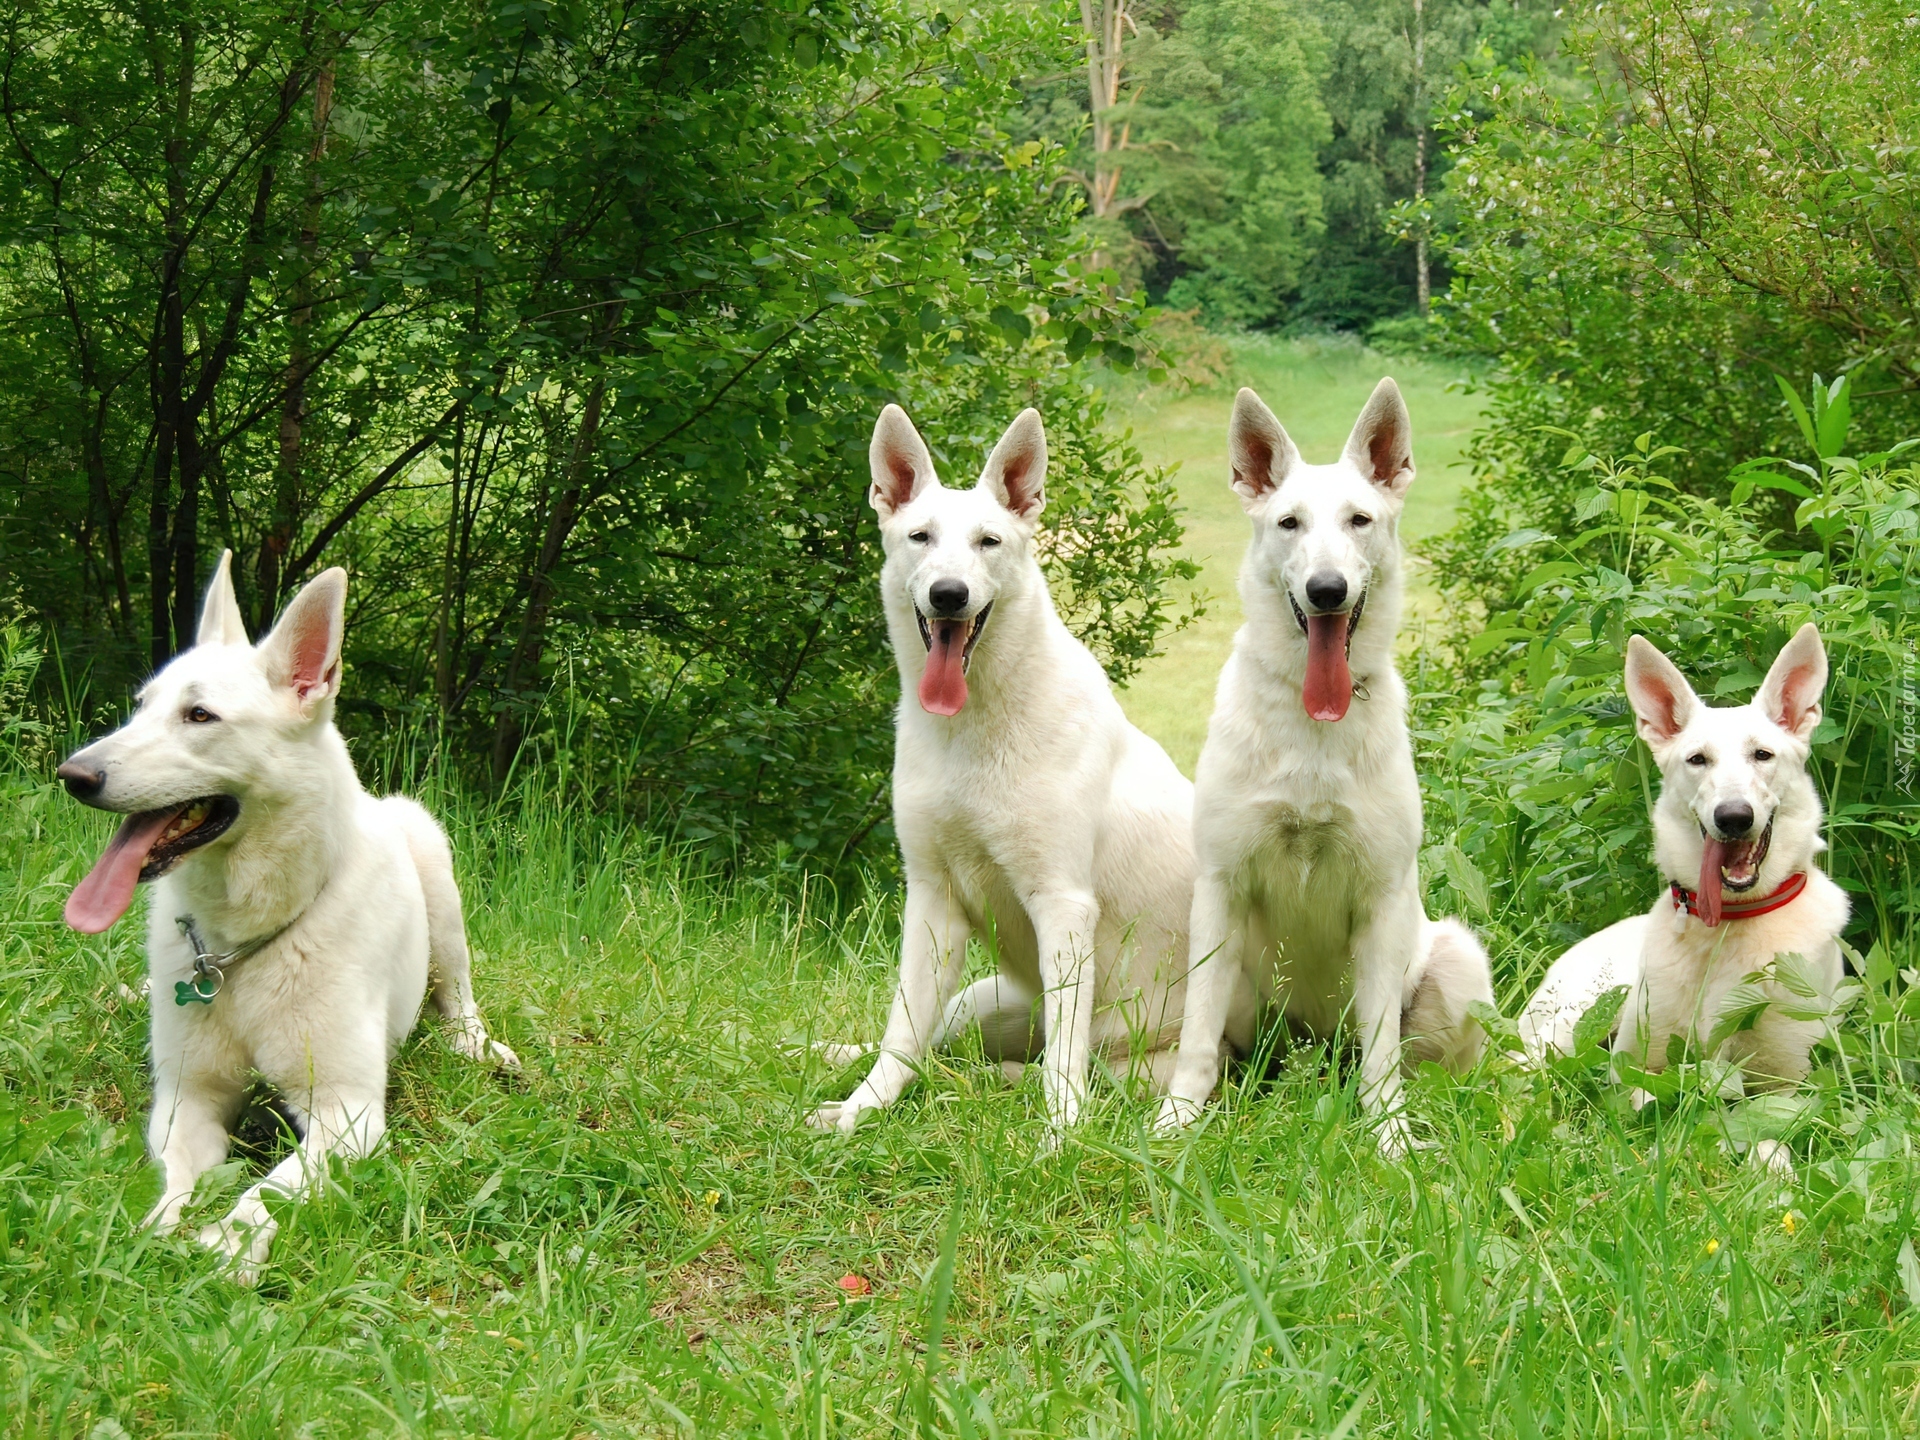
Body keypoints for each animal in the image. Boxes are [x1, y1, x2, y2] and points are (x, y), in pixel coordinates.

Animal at [58, 556, 518, 1282]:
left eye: (199, 715)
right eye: (142, 707)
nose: (72, 775)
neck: (239, 947)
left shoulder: (345, 1113)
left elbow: (267, 1189)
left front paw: (230, 1243)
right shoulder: (188, 1097)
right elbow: (177, 1177)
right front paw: (159, 1228)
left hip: (435, 867)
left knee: (459, 994)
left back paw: (477, 1044)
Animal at [810, 403, 1198, 1136]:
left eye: (989, 542)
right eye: (920, 537)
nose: (948, 594)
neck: (973, 727)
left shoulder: (1062, 904)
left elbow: (1064, 1064)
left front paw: (1062, 1135)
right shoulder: (932, 902)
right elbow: (900, 1033)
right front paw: (862, 1110)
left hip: (1135, 1064)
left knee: (1063, 1062)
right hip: (981, 1002)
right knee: (932, 1046)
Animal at [1144, 380, 1489, 1152]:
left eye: (1360, 520)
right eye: (1289, 523)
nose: (1327, 590)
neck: (1312, 732)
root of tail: (1316, 1051)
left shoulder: (1382, 902)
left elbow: (1383, 1053)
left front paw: (1390, 1138)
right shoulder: (1220, 889)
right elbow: (1197, 1037)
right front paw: (1178, 1120)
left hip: (1456, 957)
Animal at [1512, 629, 1843, 1175]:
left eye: (1763, 755)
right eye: (1697, 759)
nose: (1734, 816)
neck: (1728, 926)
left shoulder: (1786, 1082)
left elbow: (1770, 1131)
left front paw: (1769, 1170)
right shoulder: (1635, 1067)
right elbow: (1650, 1103)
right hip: (1569, 1025)